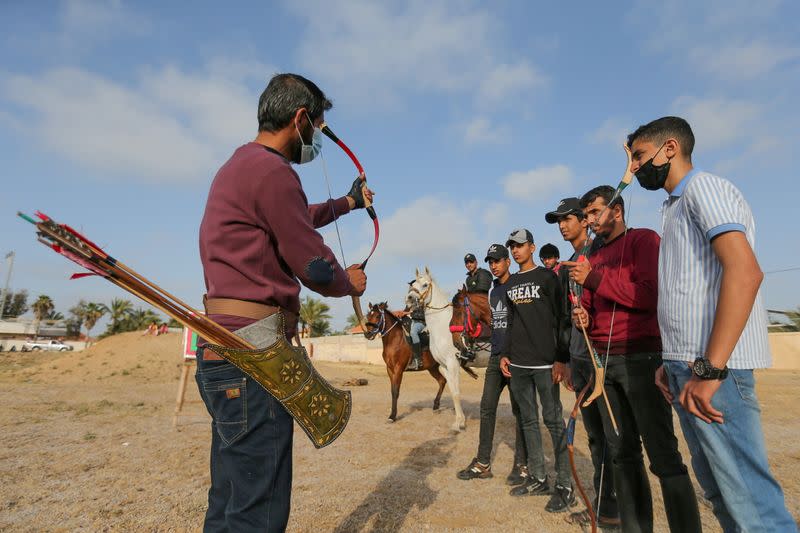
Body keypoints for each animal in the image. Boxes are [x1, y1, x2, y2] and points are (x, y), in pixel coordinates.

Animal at [410, 268, 466, 430]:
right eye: (413, 284)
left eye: (425, 284)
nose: (409, 299)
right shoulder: (444, 365)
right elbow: (453, 391)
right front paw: (459, 421)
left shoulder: (454, 363)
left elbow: (456, 392)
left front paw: (459, 424)